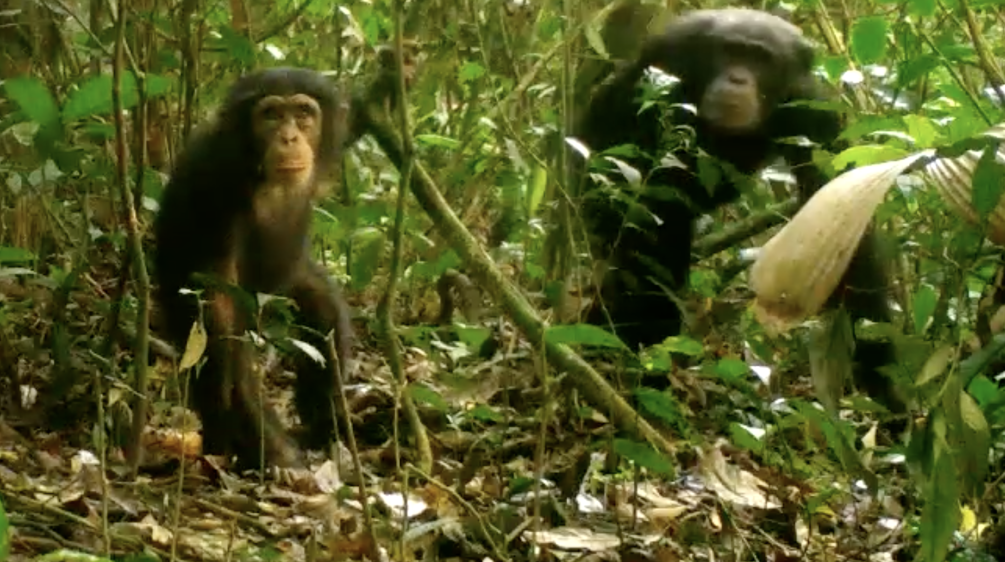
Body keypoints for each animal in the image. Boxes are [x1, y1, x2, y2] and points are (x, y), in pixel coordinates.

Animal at [154, 68, 355, 468]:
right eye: (271, 115)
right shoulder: (215, 179)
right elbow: (217, 305)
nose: (289, 136)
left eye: (304, 113)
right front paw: (272, 447)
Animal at [574, 7, 912, 414]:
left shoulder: (812, 111)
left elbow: (844, 214)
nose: (737, 78)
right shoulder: (662, 66)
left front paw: (883, 383)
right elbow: (643, 189)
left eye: (760, 59)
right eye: (730, 52)